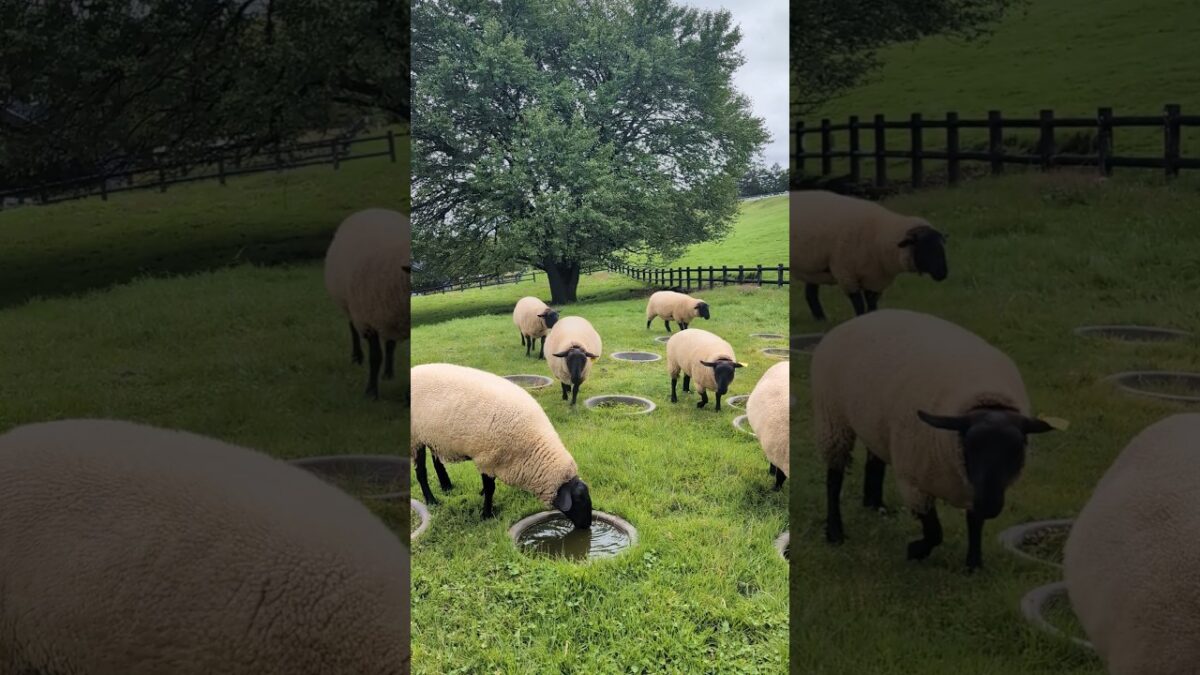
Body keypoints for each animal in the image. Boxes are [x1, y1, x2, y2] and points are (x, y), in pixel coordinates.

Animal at [323, 208, 411, 400]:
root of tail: (373, 209)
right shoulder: (367, 321)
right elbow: (375, 358)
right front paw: (371, 393)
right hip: (352, 306)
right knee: (352, 329)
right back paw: (357, 357)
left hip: (385, 315)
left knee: (390, 343)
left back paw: (388, 373)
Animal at [410, 363, 593, 528]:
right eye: (580, 501)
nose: (587, 526)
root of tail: (414, 370)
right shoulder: (487, 458)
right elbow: (491, 488)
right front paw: (486, 514)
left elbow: (488, 486)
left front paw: (481, 496)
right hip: (415, 438)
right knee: (421, 472)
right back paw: (431, 500)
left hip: (433, 436)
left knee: (437, 462)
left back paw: (447, 486)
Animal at [791, 190, 948, 320]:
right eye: (924, 247)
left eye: (941, 246)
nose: (943, 273)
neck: (879, 236)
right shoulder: (847, 274)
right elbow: (859, 304)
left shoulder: (876, 279)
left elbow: (872, 305)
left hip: (813, 268)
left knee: (811, 294)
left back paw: (821, 319)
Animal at [811, 309, 1056, 570]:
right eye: (970, 447)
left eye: (1018, 450)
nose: (990, 505)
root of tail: (862, 318)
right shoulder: (916, 484)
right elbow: (935, 531)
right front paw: (916, 550)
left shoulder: (973, 487)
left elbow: (975, 523)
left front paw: (974, 564)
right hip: (833, 420)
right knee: (834, 479)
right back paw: (835, 532)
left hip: (873, 421)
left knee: (874, 459)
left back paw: (875, 504)